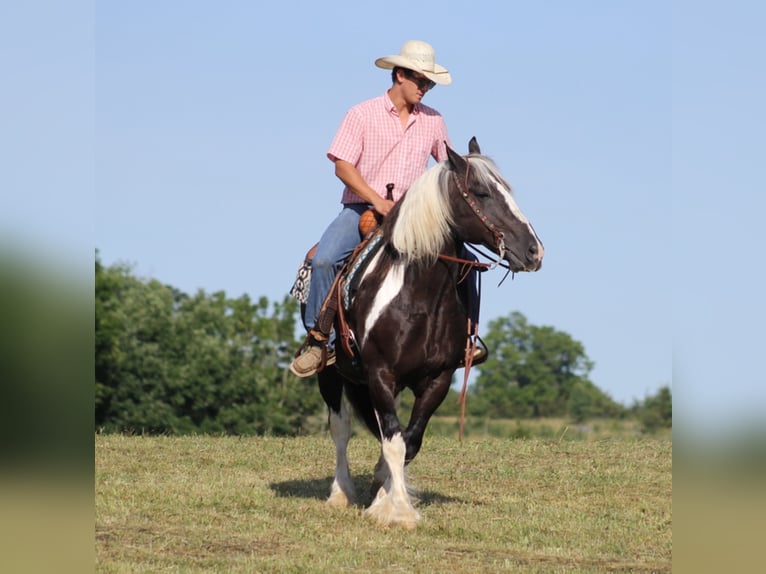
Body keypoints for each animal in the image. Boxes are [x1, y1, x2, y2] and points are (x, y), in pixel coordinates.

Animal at [310, 137, 540, 528]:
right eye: (481, 192)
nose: (534, 250)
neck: (419, 296)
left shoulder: (438, 378)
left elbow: (409, 441)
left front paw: (384, 496)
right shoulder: (381, 374)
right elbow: (394, 441)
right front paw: (400, 510)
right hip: (332, 373)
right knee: (340, 428)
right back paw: (340, 493)